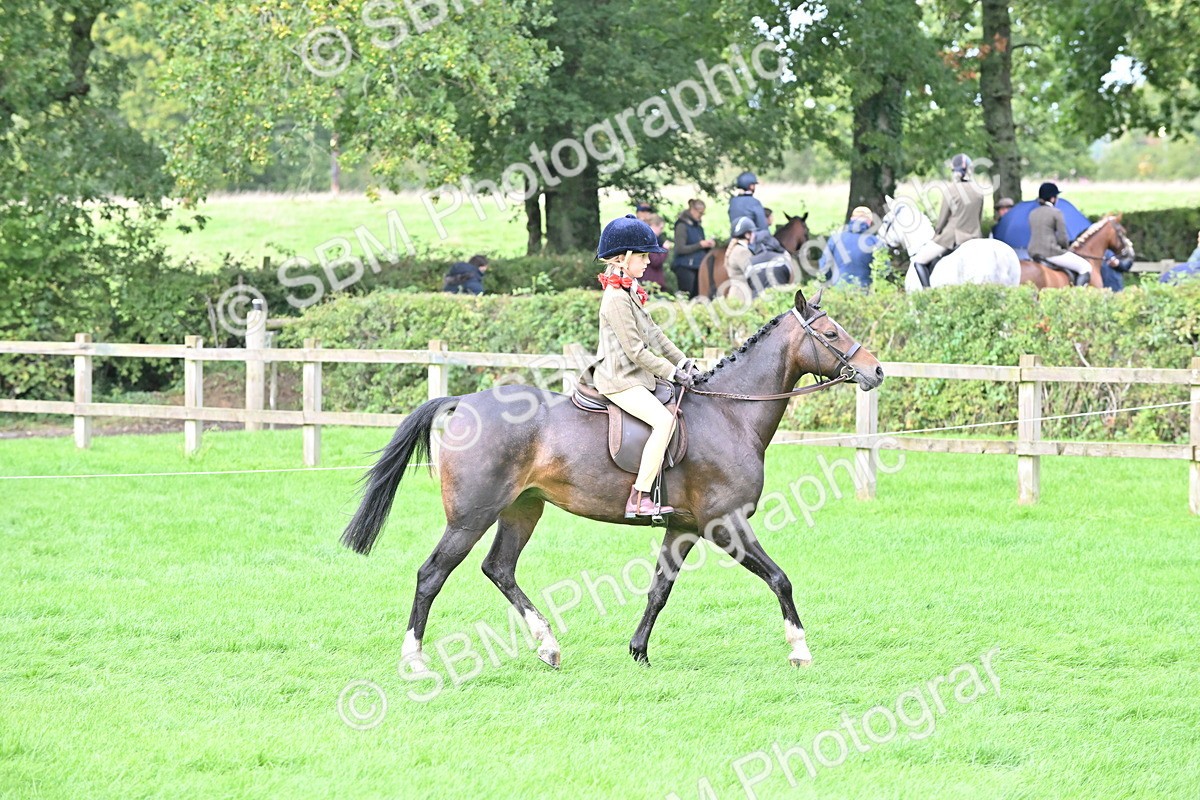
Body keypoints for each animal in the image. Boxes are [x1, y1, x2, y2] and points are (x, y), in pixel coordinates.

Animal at [340, 288, 884, 670]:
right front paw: (799, 650)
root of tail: (464, 402)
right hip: (470, 518)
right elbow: (780, 579)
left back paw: (548, 646)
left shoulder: (682, 528)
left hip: (522, 509)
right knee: (432, 575)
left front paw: (639, 651)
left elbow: (659, 590)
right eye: (830, 334)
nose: (876, 371)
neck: (731, 414)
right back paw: (414, 658)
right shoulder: (726, 524)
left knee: (499, 568)